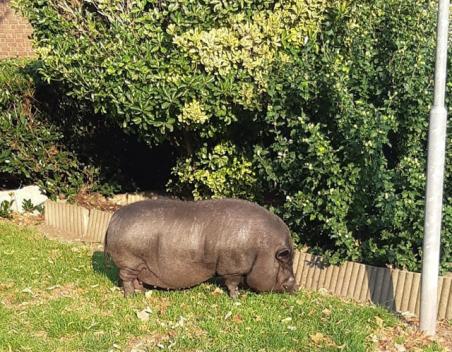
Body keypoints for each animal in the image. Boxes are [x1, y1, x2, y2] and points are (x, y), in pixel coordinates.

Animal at [104, 198, 298, 296]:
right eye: (285, 261)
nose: (296, 287)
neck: (261, 250)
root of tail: (114, 218)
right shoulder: (232, 268)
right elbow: (232, 283)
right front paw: (237, 298)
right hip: (129, 261)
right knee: (126, 278)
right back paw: (131, 296)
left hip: (138, 264)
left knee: (135, 278)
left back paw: (142, 291)